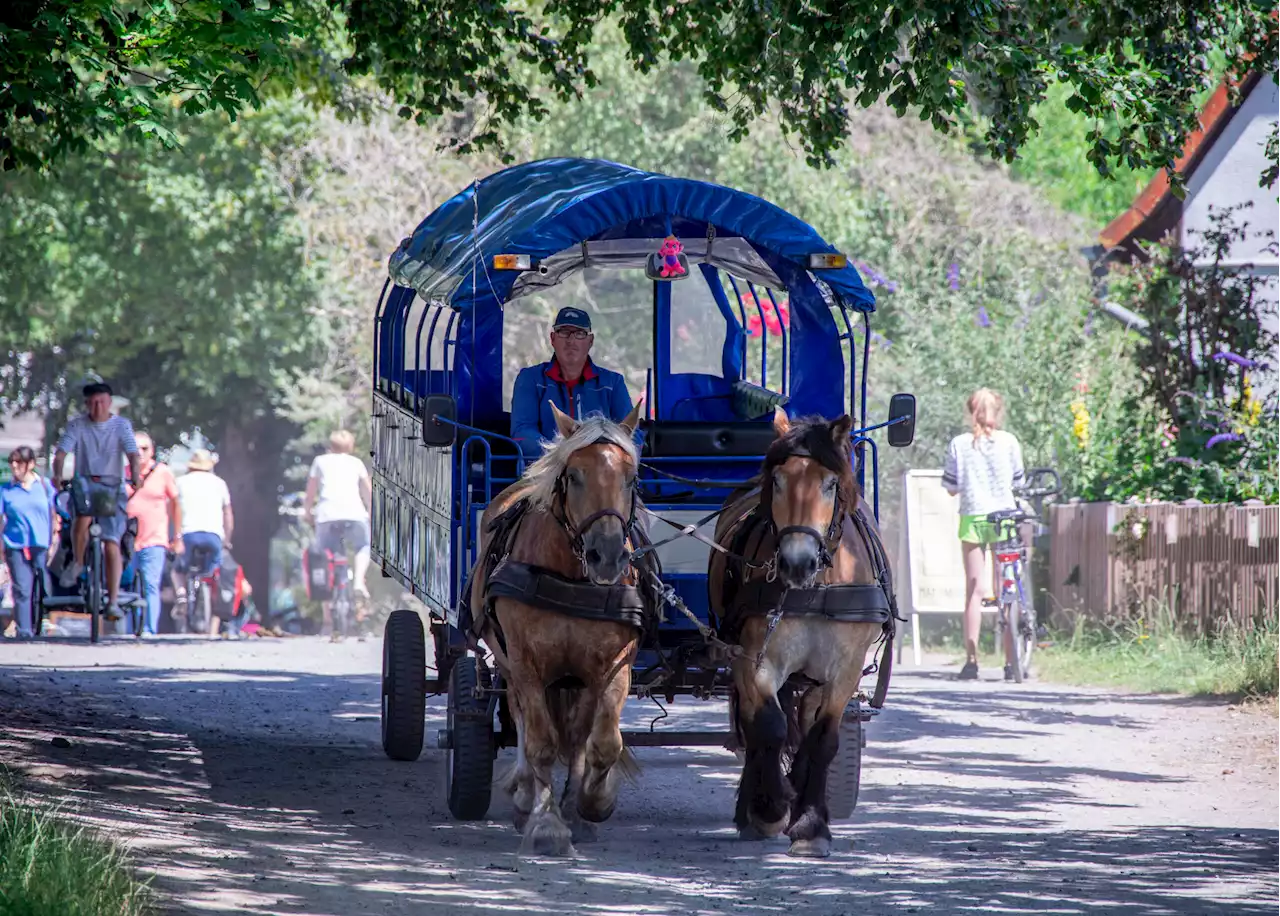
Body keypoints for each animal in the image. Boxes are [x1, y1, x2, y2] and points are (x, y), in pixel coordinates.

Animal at [468, 401, 650, 859]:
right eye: (574, 476)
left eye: (631, 478)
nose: (607, 556)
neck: (571, 578)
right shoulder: (528, 665)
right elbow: (541, 743)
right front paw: (546, 824)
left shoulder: (612, 666)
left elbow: (601, 743)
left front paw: (592, 804)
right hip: (511, 664)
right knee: (521, 719)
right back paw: (525, 796)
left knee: (578, 735)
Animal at [711, 409, 901, 859]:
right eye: (778, 480)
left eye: (830, 484)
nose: (797, 563)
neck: (818, 587)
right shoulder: (756, 659)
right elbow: (769, 726)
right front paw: (771, 807)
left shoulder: (844, 670)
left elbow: (822, 738)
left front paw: (811, 824)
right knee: (756, 725)